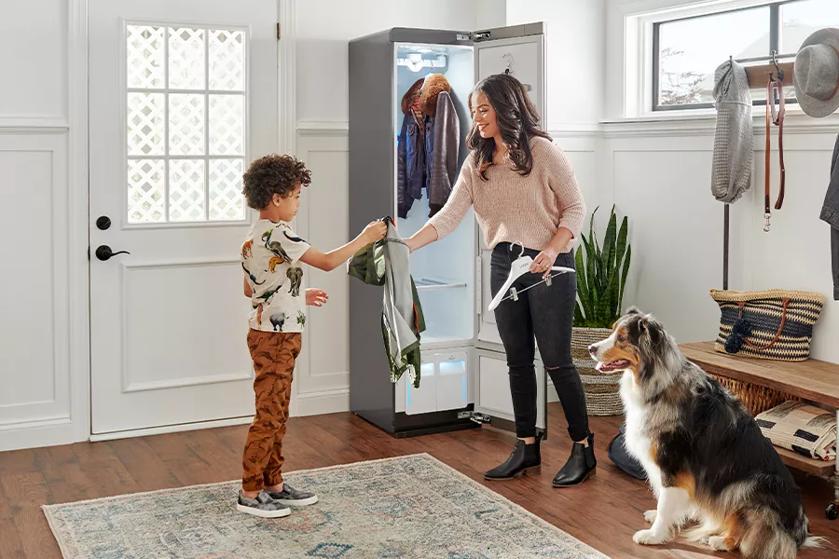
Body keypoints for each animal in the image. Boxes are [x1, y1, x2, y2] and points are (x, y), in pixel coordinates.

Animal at [588, 308, 824, 556]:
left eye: (622, 338)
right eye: (612, 330)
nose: (590, 348)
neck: (659, 382)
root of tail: (798, 535)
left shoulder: (673, 464)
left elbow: (665, 502)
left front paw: (653, 535)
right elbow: (665, 501)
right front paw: (660, 518)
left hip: (750, 485)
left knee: (752, 531)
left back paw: (722, 541)